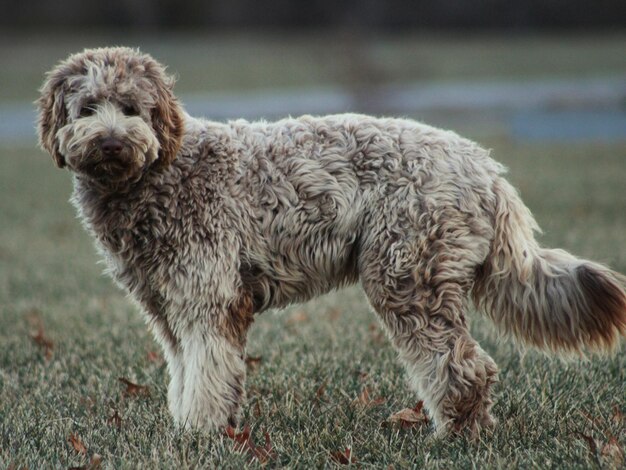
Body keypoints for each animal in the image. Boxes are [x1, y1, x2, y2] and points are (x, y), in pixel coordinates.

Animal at [37, 46, 624, 436]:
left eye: (131, 109)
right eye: (86, 109)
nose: (111, 141)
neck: (159, 171)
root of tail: (485, 169)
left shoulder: (209, 297)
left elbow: (208, 372)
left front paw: (200, 435)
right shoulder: (167, 305)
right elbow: (187, 373)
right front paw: (187, 428)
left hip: (407, 275)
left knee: (463, 366)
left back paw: (454, 437)